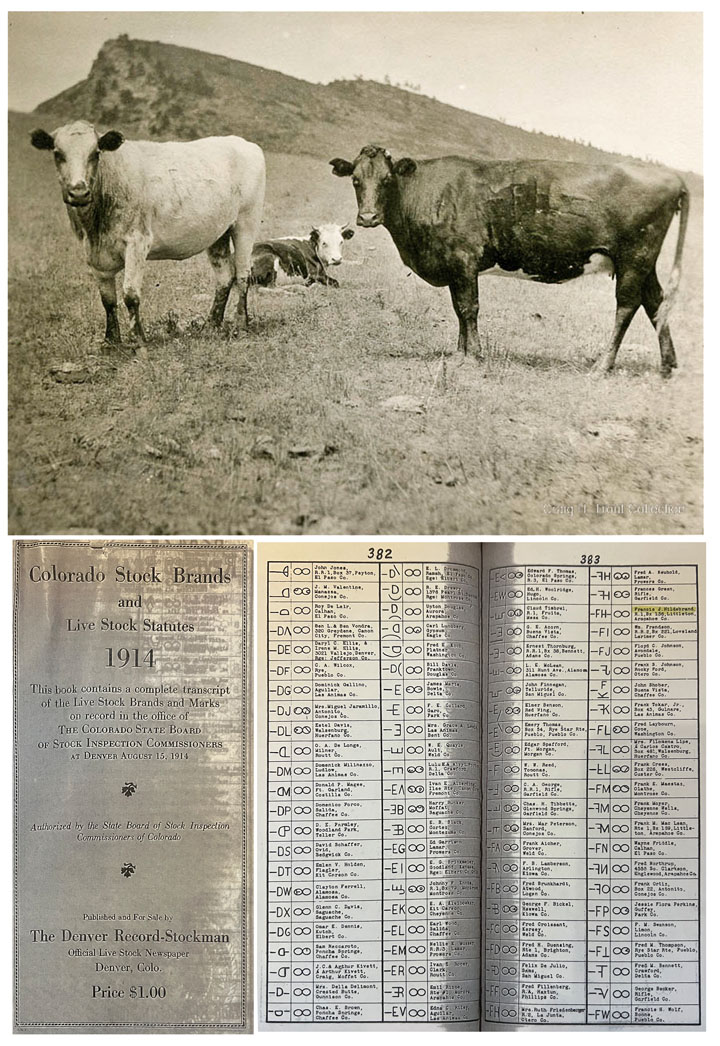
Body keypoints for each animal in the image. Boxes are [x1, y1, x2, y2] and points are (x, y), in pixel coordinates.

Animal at [31, 120, 266, 345]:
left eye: (95, 153)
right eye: (57, 153)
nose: (78, 192)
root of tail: (244, 143)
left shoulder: (137, 242)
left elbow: (130, 295)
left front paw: (138, 339)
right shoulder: (94, 255)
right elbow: (108, 300)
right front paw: (111, 342)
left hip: (246, 222)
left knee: (242, 274)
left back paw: (240, 324)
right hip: (218, 233)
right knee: (225, 276)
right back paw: (211, 325)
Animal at [330, 146, 689, 376]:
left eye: (387, 180)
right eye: (355, 180)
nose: (368, 217)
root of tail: (671, 177)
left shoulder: (463, 260)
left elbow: (469, 308)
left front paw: (474, 356)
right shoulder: (455, 267)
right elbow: (458, 309)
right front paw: (459, 353)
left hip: (634, 257)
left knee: (627, 305)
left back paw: (602, 366)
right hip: (643, 262)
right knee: (655, 301)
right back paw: (667, 365)